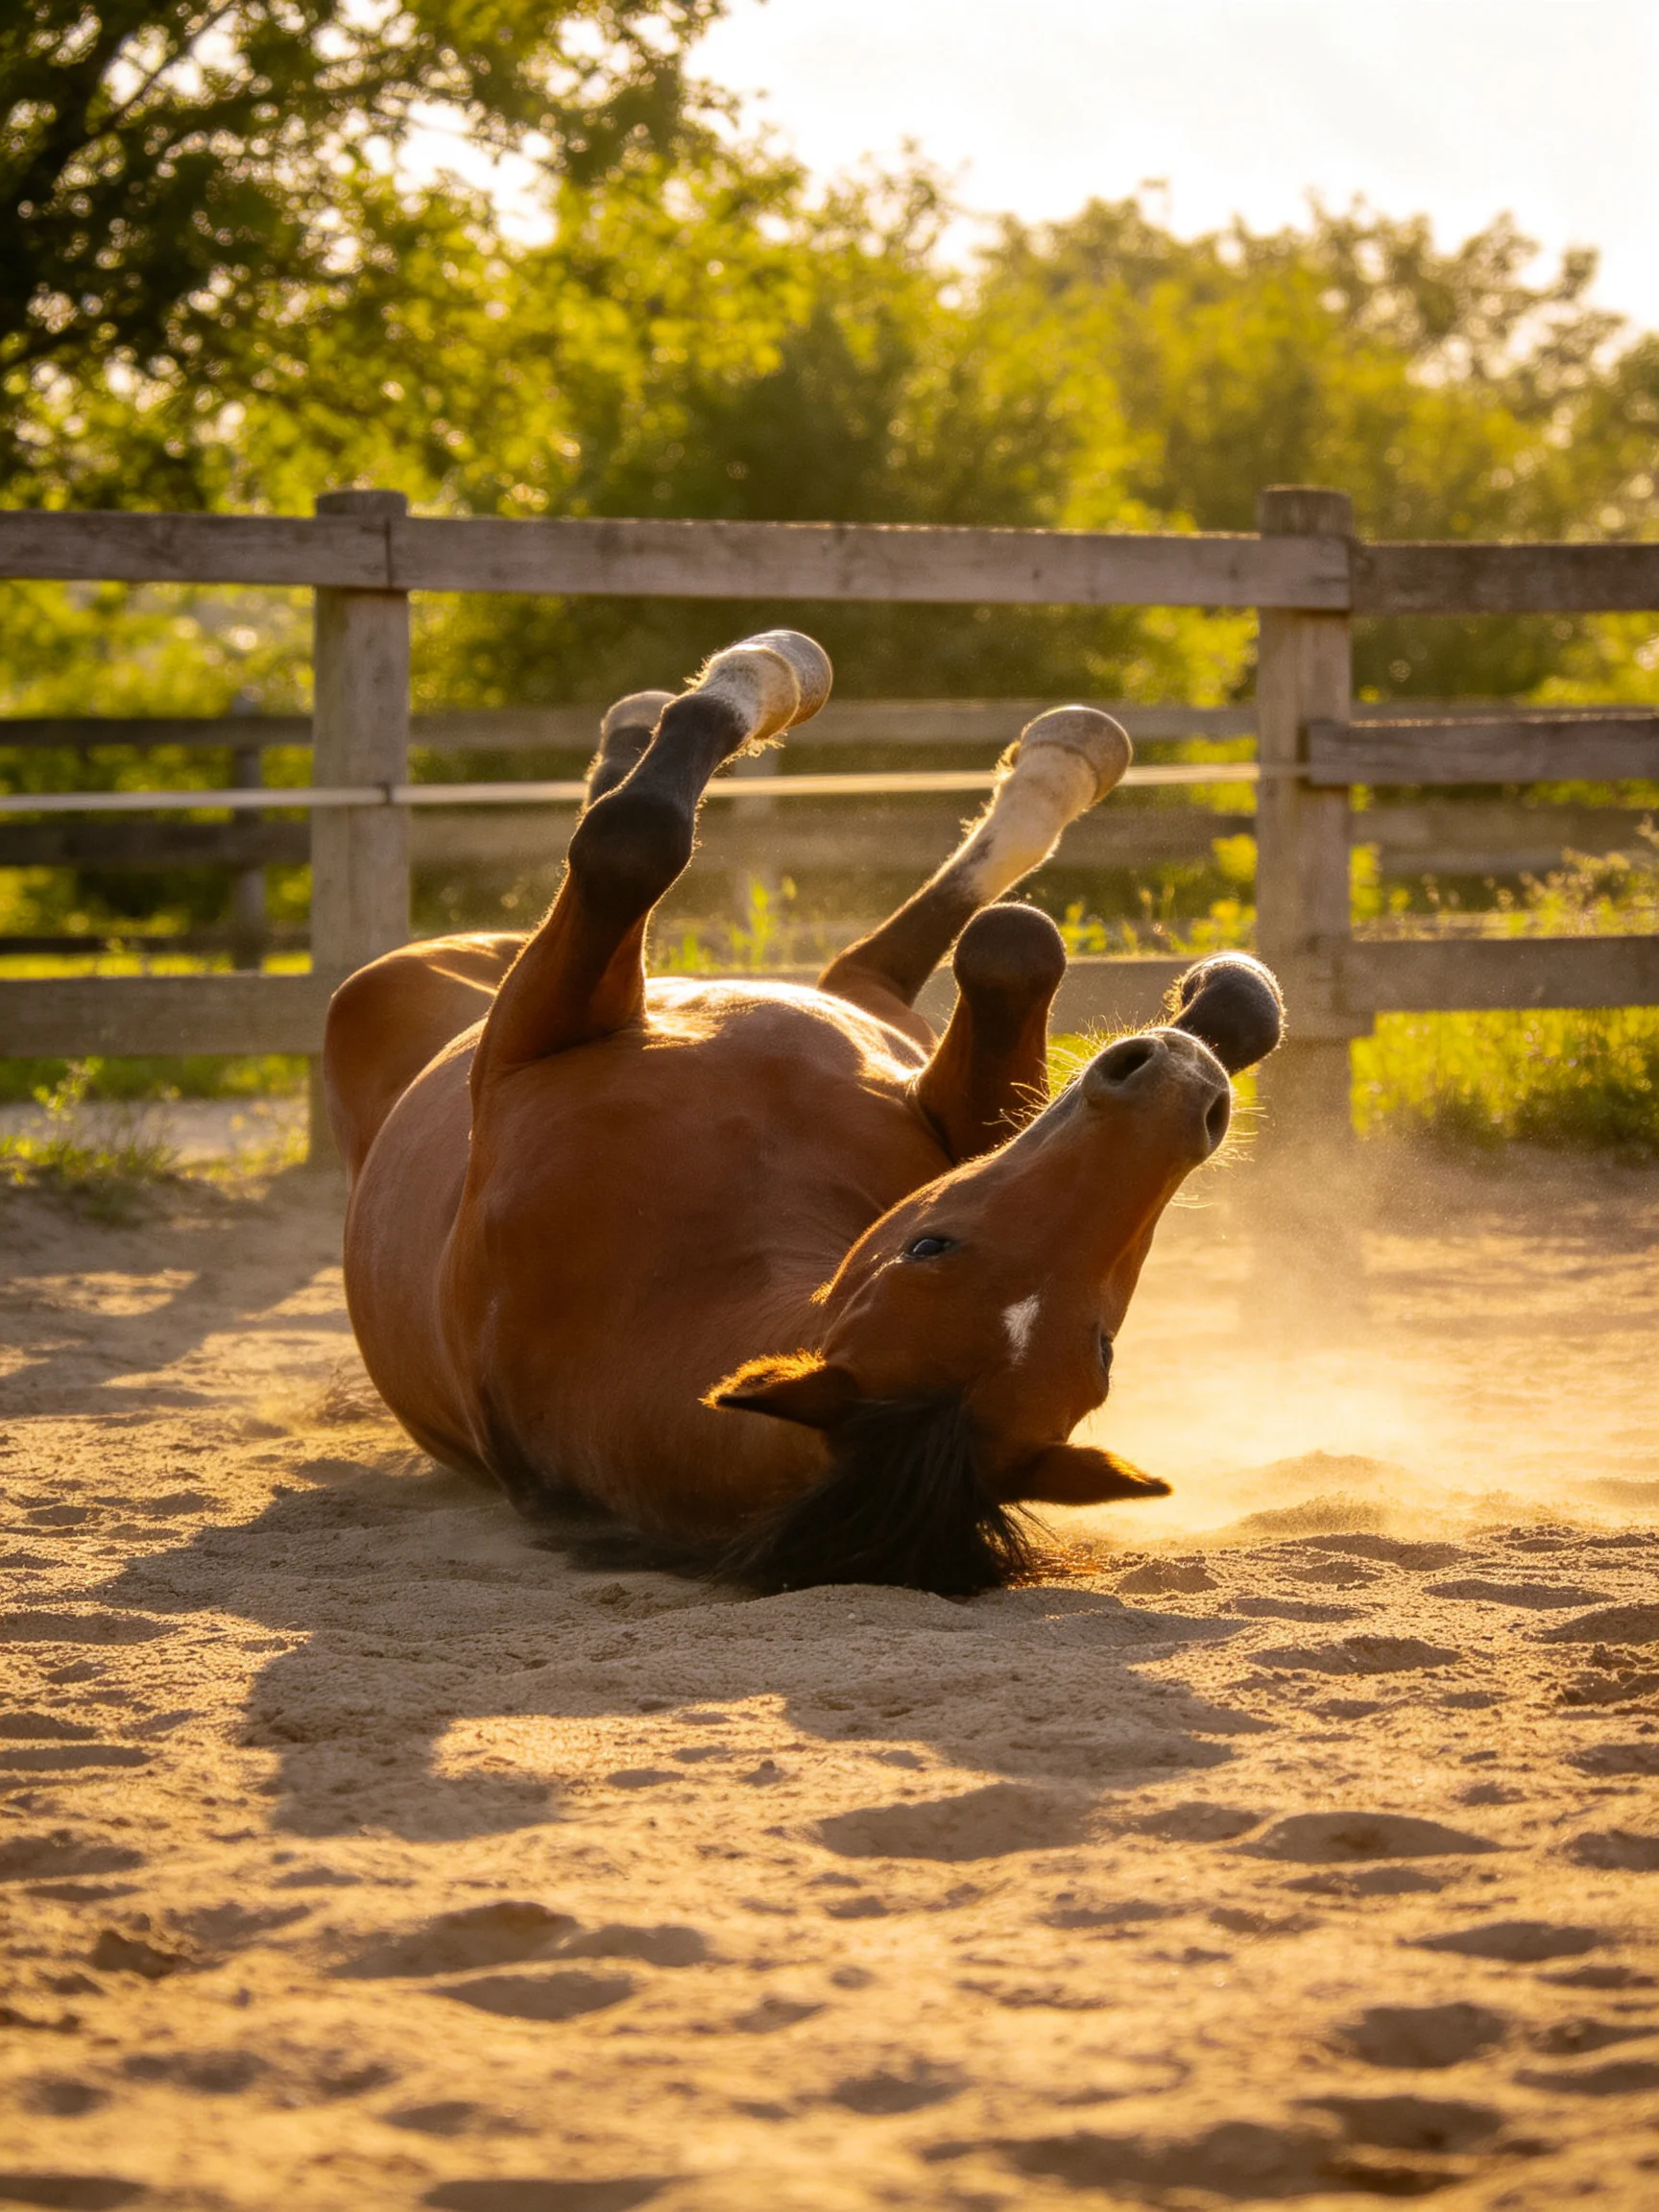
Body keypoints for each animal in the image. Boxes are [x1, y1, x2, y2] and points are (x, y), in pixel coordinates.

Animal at [324, 631, 1283, 1594]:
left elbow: (631, 843)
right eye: (931, 1246)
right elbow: (1010, 944)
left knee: (869, 937)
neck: (688, 1272)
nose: (1181, 1092)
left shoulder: (536, 1039)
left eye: (1102, 1350)